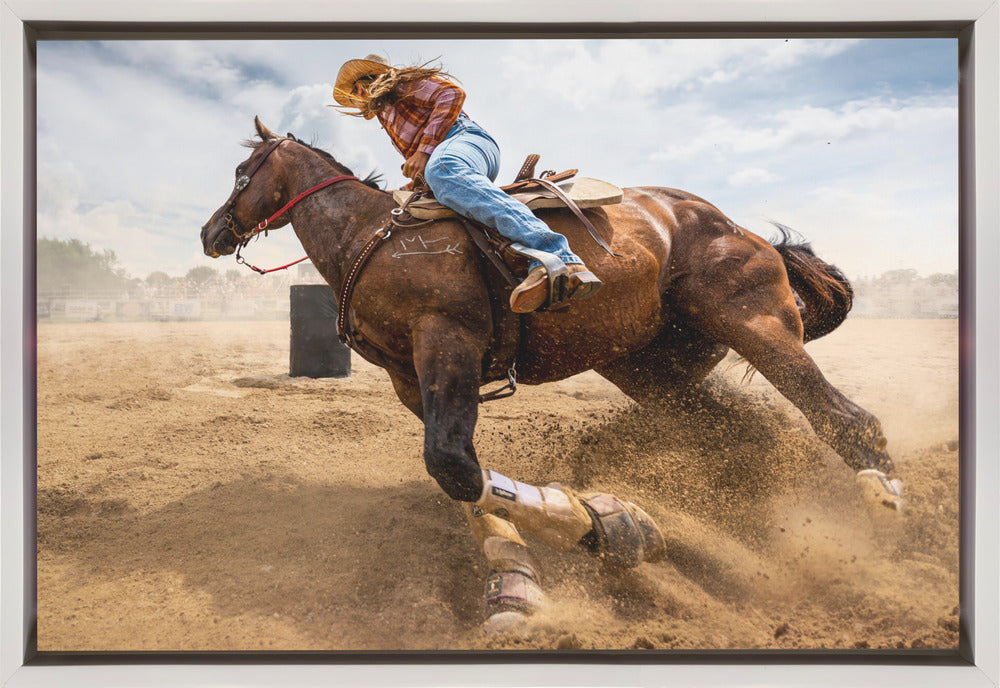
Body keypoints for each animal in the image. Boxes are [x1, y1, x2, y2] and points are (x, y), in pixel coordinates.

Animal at [201, 117, 903, 629]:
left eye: (240, 172)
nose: (210, 231)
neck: (371, 235)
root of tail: (739, 228)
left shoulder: (448, 341)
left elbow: (452, 462)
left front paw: (612, 527)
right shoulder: (411, 381)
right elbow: (461, 474)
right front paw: (519, 581)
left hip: (756, 326)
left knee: (845, 418)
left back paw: (886, 522)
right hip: (655, 373)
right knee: (745, 436)